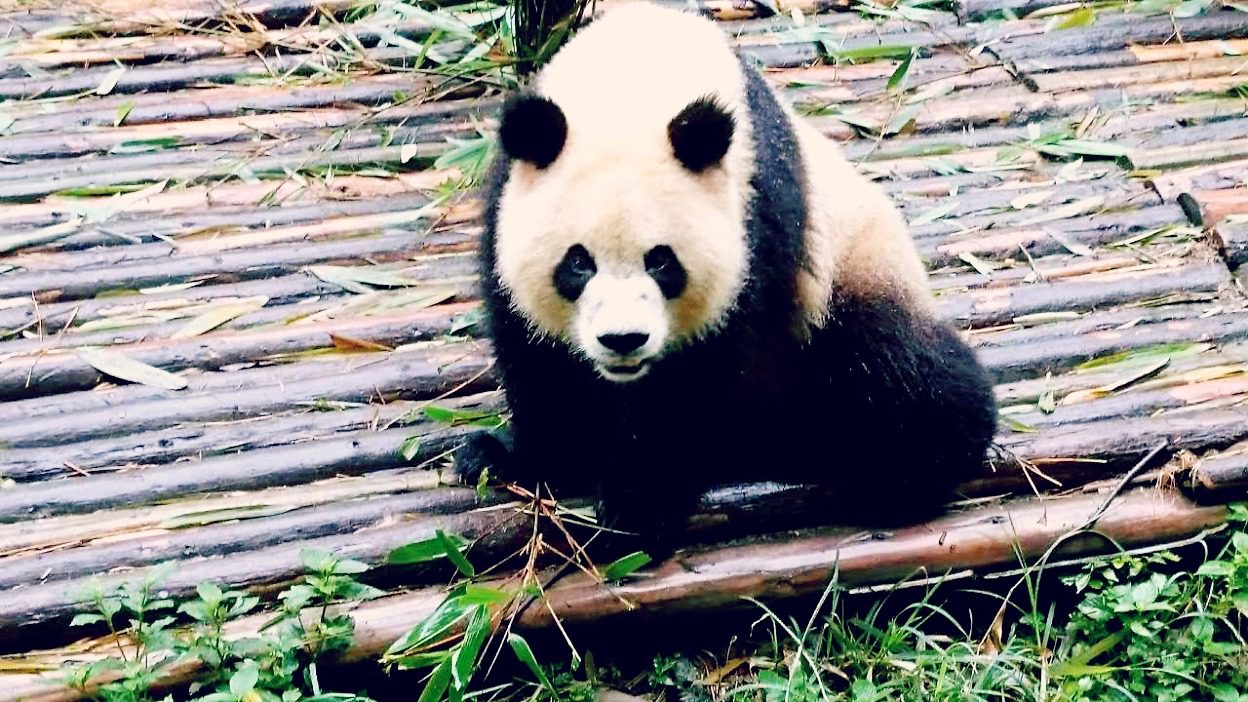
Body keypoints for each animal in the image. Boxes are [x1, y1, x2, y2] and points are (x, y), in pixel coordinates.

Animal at [457, 2, 997, 553]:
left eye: (662, 262)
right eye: (579, 263)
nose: (623, 340)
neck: (634, 82)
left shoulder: (760, 218)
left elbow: (706, 376)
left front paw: (639, 503)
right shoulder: (504, 207)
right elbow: (535, 352)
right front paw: (520, 456)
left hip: (851, 284)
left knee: (902, 376)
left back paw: (889, 470)